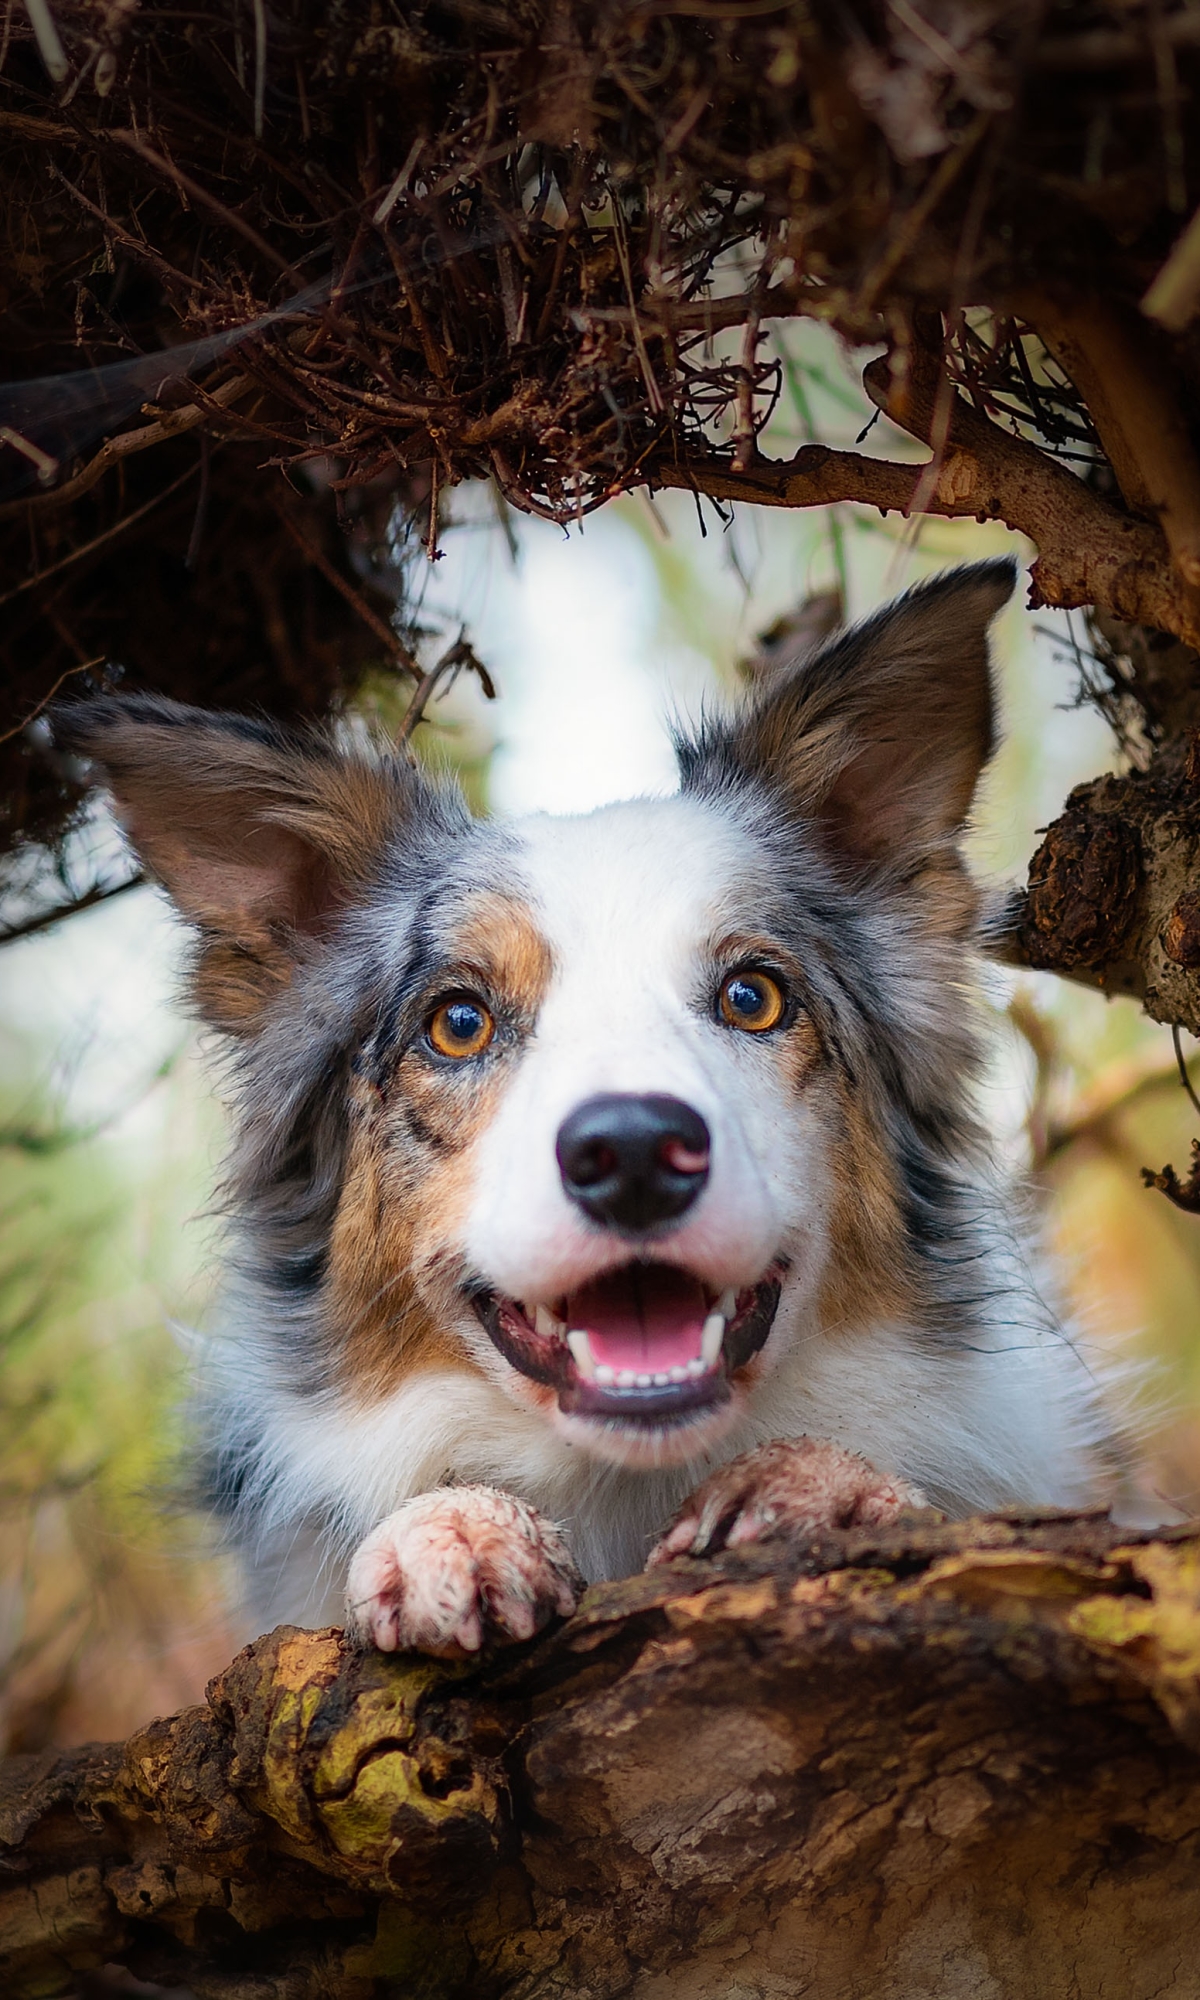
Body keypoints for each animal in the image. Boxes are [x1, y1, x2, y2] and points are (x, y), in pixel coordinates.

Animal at [58, 560, 1128, 1656]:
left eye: (753, 996)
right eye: (459, 1022)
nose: (636, 1153)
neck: (629, 1484)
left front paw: (817, 1490)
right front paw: (451, 1527)